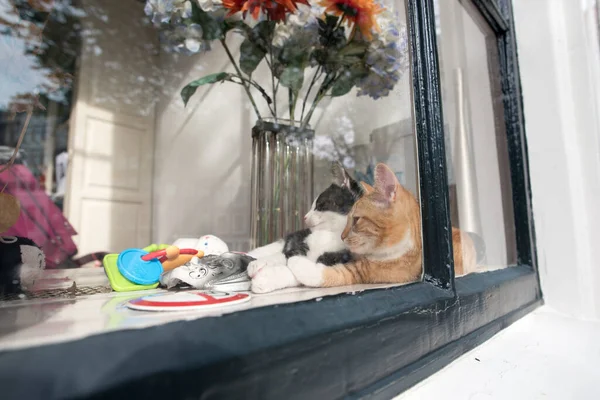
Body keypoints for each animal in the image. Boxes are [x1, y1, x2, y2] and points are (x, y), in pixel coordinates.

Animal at [246, 162, 364, 294]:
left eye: (319, 205)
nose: (305, 217)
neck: (330, 234)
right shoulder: (298, 246)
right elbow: (283, 256)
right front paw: (259, 264)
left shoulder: (335, 259)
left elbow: (294, 271)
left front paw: (265, 279)